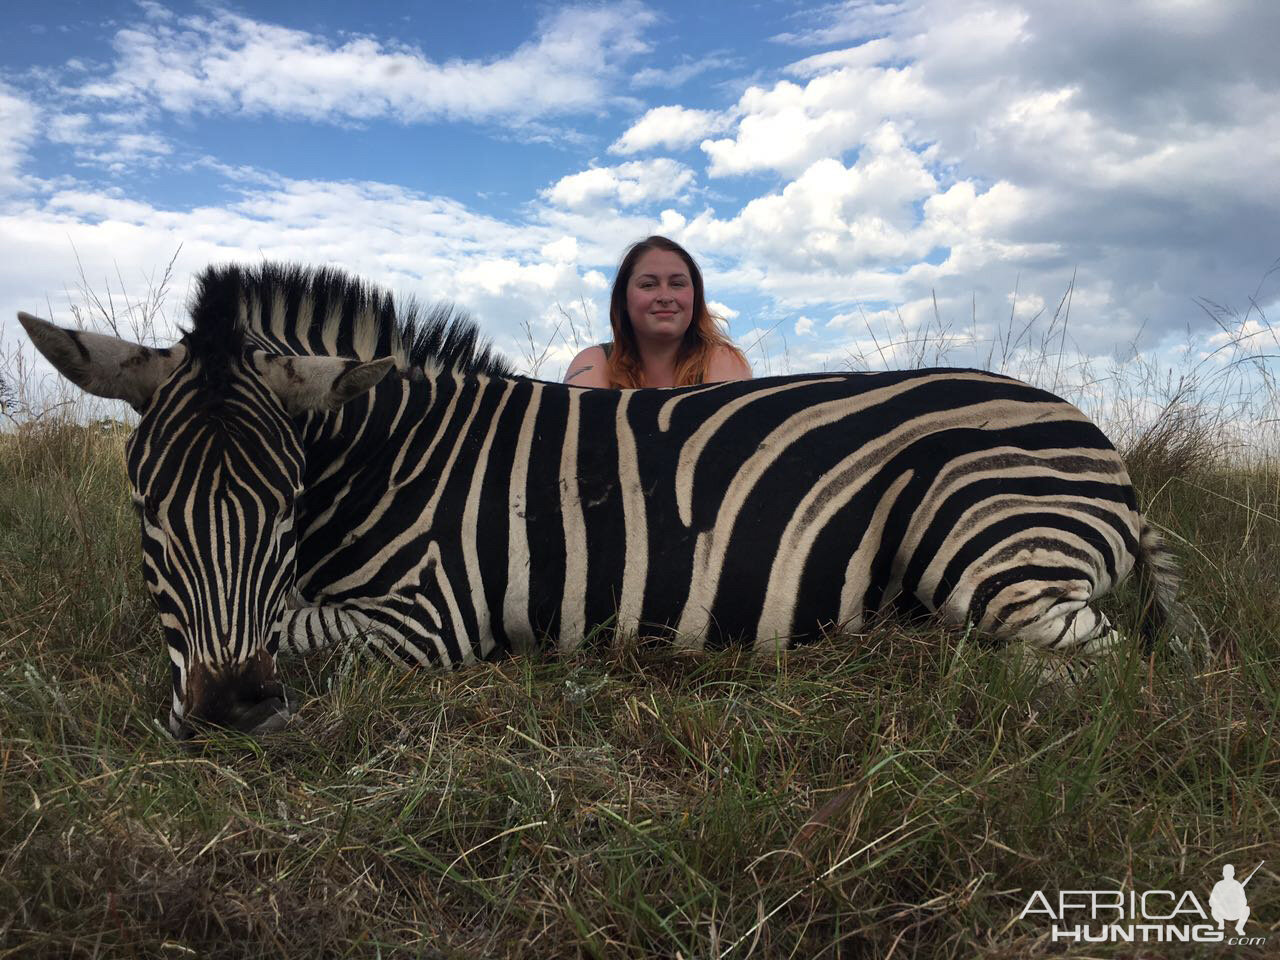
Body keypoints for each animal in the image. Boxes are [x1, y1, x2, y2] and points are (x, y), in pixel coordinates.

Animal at [20, 263, 1192, 737]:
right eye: (148, 510)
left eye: (281, 503)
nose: (234, 712)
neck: (386, 460)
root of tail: (1098, 441)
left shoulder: (429, 619)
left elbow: (301, 625)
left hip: (989, 546)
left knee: (1095, 666)